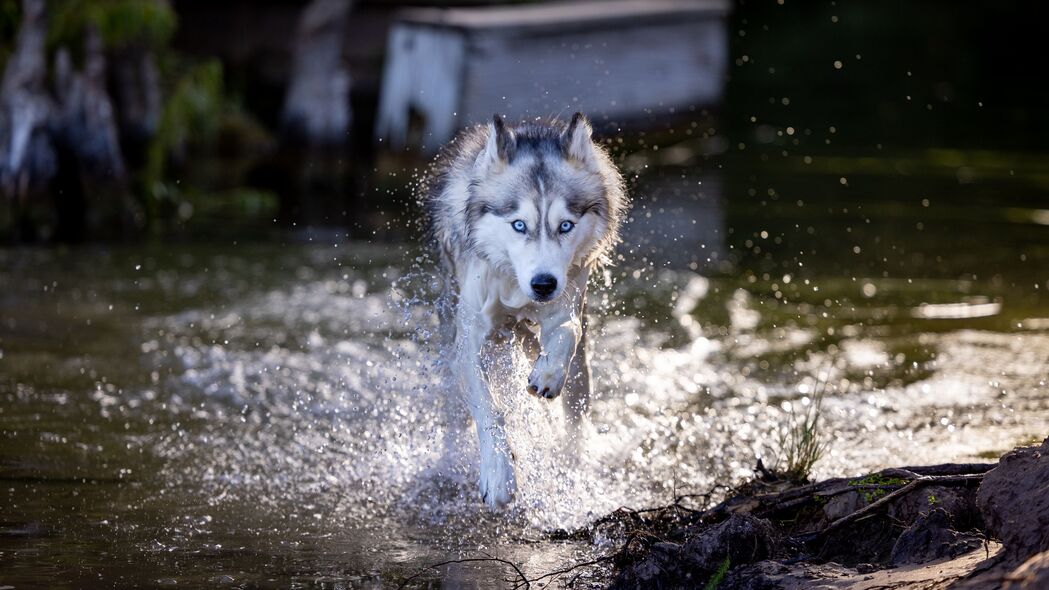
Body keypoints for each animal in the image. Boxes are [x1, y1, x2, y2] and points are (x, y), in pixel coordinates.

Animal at [421, 112, 625, 508]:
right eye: (519, 225)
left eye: (566, 225)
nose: (543, 284)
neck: (516, 287)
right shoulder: (468, 345)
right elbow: (490, 409)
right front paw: (499, 475)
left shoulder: (567, 305)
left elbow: (566, 333)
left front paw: (547, 373)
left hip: (580, 374)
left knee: (575, 414)